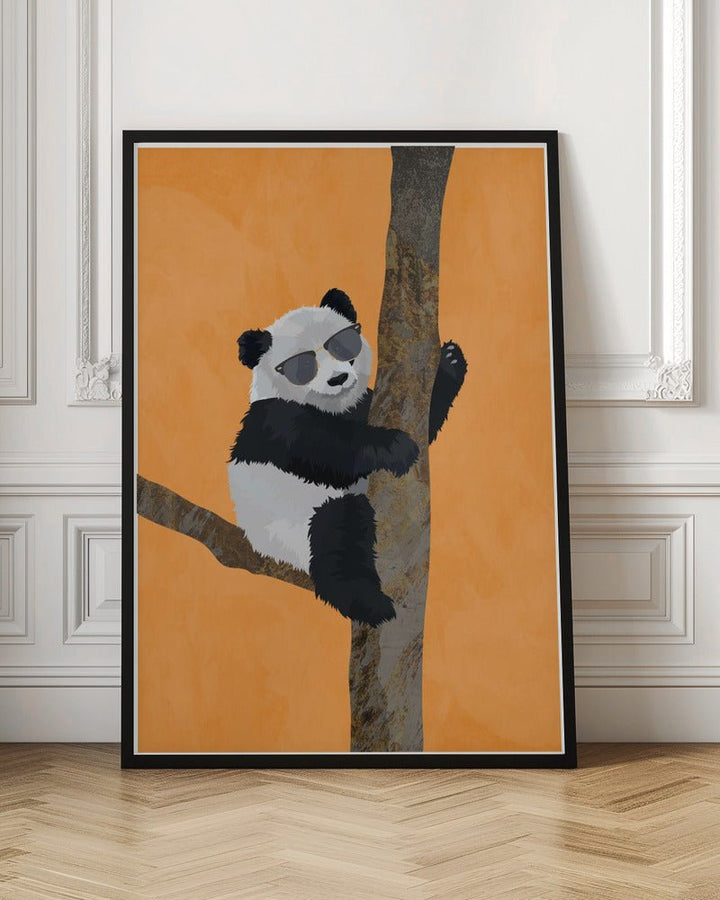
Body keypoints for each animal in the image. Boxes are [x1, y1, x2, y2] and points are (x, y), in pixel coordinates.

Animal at [228, 288, 467, 627]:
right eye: (302, 366)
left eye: (342, 346)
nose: (338, 379)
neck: (334, 408)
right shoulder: (274, 421)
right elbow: (326, 451)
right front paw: (395, 447)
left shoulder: (364, 404)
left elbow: (424, 421)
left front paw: (449, 362)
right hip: (290, 527)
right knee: (340, 535)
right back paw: (369, 604)